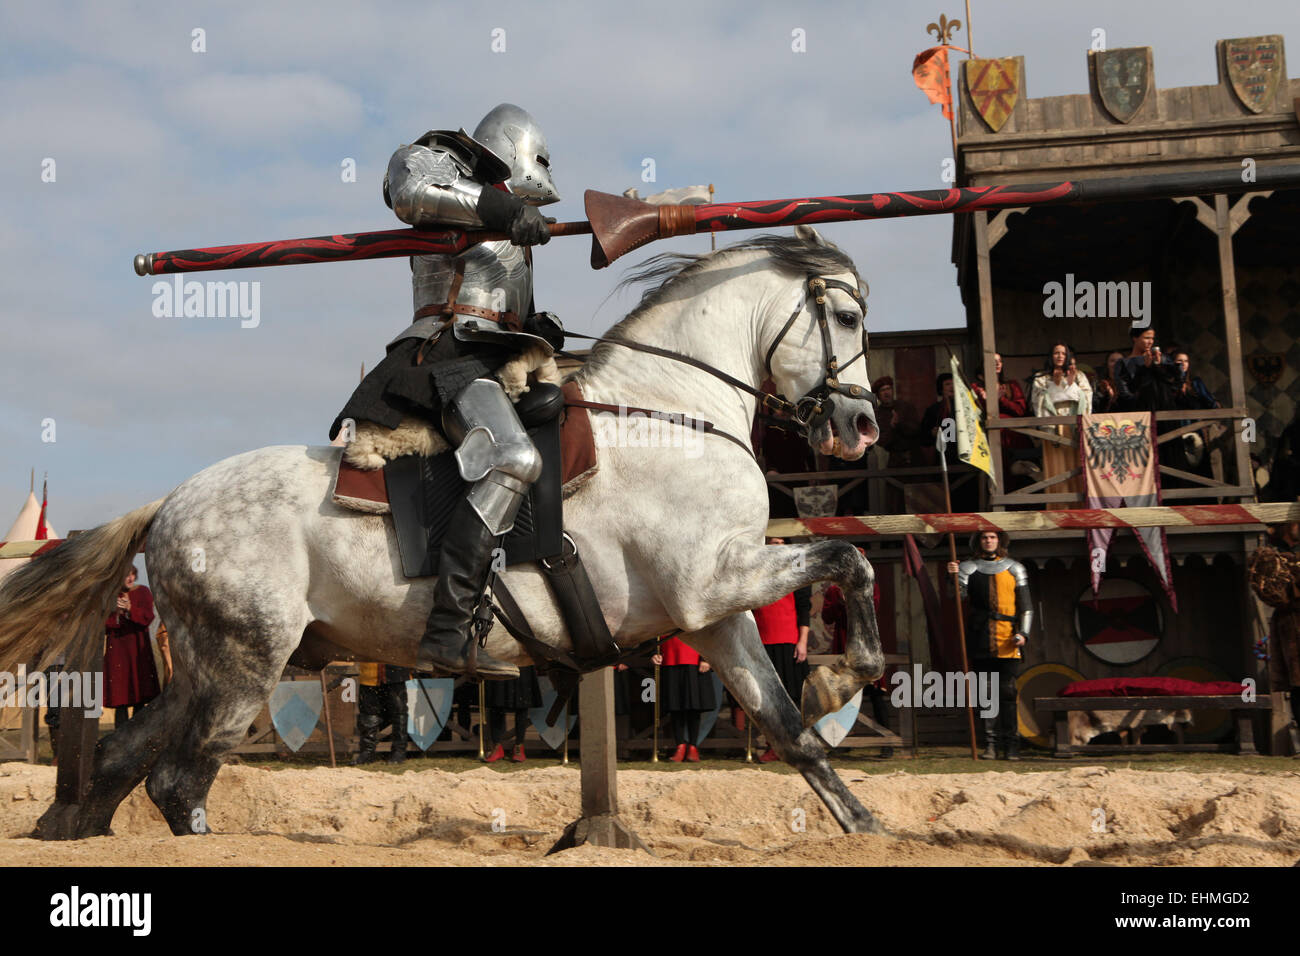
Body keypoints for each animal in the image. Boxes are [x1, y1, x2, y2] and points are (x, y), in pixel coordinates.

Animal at [0, 227, 883, 842]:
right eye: (845, 316)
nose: (860, 427)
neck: (671, 411)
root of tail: (169, 502)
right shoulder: (712, 581)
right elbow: (849, 557)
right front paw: (850, 674)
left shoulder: (716, 615)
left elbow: (789, 727)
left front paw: (861, 816)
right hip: (246, 667)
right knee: (180, 781)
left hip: (208, 666)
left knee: (123, 758)